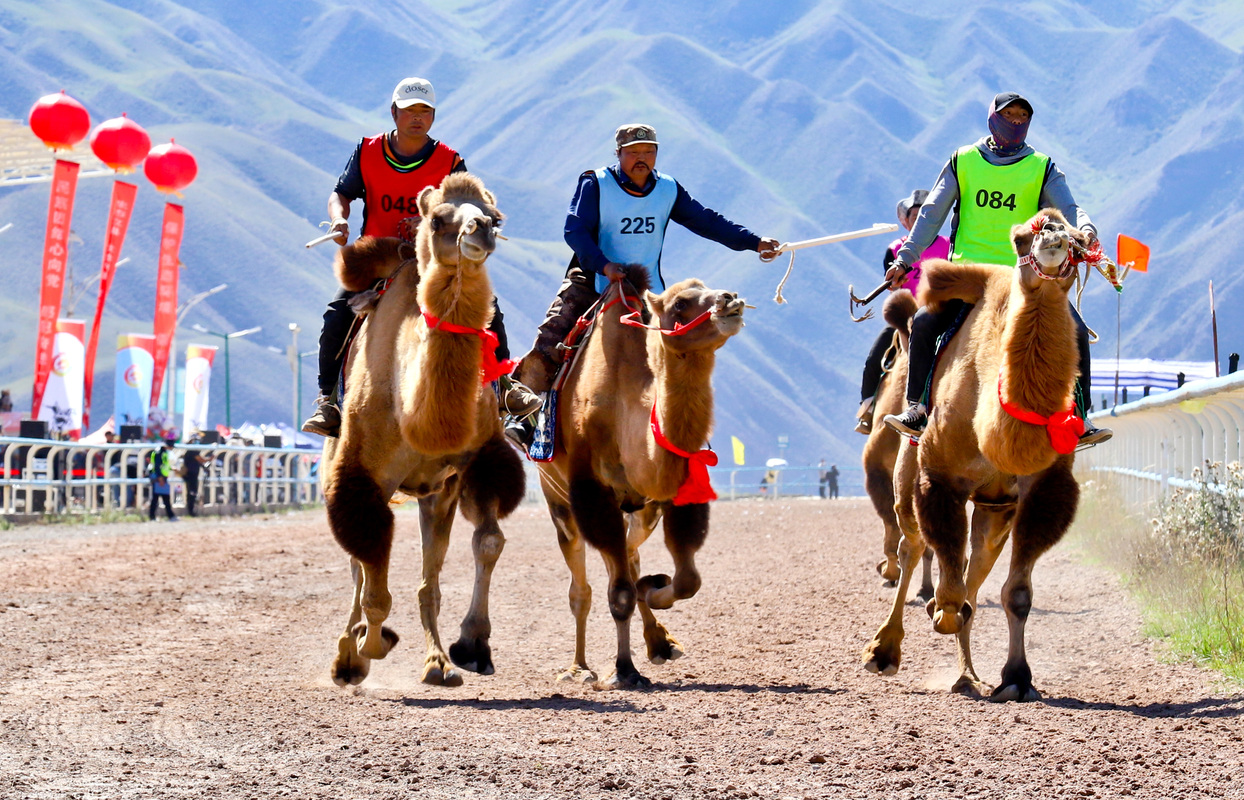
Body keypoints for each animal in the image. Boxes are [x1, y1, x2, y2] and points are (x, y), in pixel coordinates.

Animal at [320, 175, 524, 686]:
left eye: (496, 215)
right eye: (438, 218)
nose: (480, 229)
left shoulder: (469, 468)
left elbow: (484, 544)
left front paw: (464, 649)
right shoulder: (361, 475)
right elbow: (373, 576)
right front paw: (367, 647)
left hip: (436, 491)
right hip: (336, 459)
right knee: (357, 566)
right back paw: (347, 655)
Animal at [532, 271, 741, 686]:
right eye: (680, 303)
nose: (730, 299)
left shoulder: (674, 490)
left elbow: (686, 578)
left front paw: (655, 593)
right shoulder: (593, 494)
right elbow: (619, 594)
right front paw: (624, 670)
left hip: (638, 511)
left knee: (629, 559)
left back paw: (659, 641)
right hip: (559, 500)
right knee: (583, 588)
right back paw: (579, 668)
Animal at [865, 211, 1089, 701]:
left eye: (1080, 239)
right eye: (1021, 237)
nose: (1053, 235)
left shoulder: (1044, 490)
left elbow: (1015, 593)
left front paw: (1017, 678)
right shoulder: (938, 475)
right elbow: (949, 588)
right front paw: (938, 611)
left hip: (995, 509)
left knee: (975, 565)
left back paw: (967, 674)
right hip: (905, 472)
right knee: (912, 547)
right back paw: (884, 650)